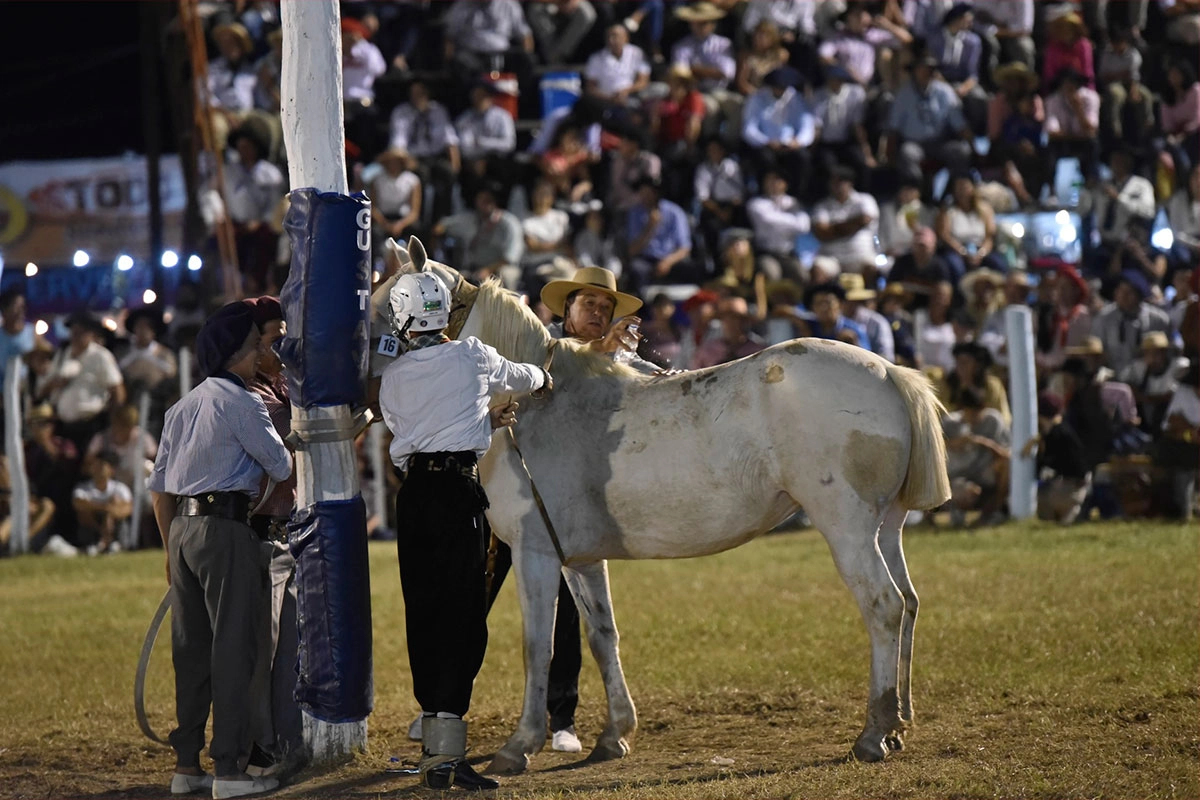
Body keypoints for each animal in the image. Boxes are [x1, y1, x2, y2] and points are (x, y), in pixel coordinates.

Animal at [369, 239, 950, 777]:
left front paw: (520, 746)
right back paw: (898, 724)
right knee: (909, 603)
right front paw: (615, 736)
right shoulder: (579, 560)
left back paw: (873, 733)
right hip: (886, 528)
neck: (535, 405)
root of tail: (890, 373)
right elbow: (602, 636)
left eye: (380, 313)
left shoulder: (536, 555)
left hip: (847, 529)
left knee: (883, 606)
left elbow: (538, 647)